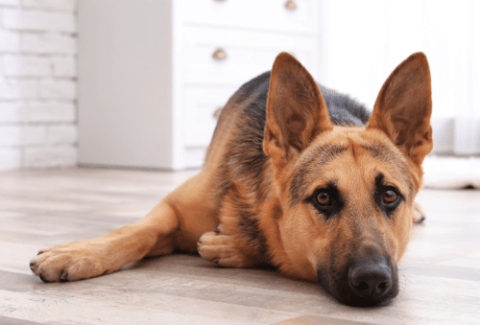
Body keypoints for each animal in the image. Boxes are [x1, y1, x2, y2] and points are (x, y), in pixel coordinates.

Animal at [31, 52, 436, 306]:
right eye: (323, 198)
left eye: (389, 196)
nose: (372, 281)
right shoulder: (172, 209)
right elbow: (136, 232)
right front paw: (81, 252)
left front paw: (231, 246)